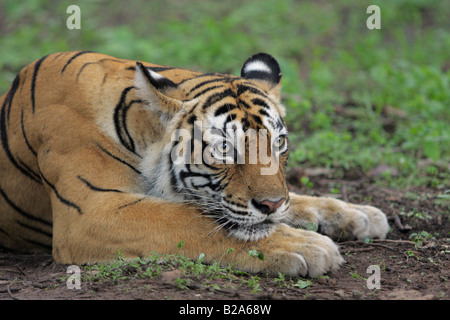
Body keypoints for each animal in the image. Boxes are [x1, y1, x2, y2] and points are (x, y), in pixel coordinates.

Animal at [0, 51, 388, 276]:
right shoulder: (91, 210)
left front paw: (359, 214)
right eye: (224, 149)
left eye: (278, 143)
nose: (271, 205)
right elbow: (190, 221)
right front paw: (304, 246)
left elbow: (300, 200)